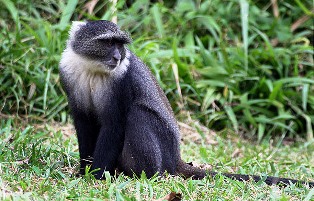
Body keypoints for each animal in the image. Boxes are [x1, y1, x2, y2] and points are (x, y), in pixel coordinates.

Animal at [59, 20, 314, 187]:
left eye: (120, 44)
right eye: (107, 42)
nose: (117, 56)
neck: (93, 68)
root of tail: (176, 159)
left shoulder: (122, 82)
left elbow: (114, 125)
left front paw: (95, 176)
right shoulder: (69, 75)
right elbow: (84, 124)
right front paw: (83, 171)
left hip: (162, 151)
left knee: (138, 113)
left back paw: (143, 175)